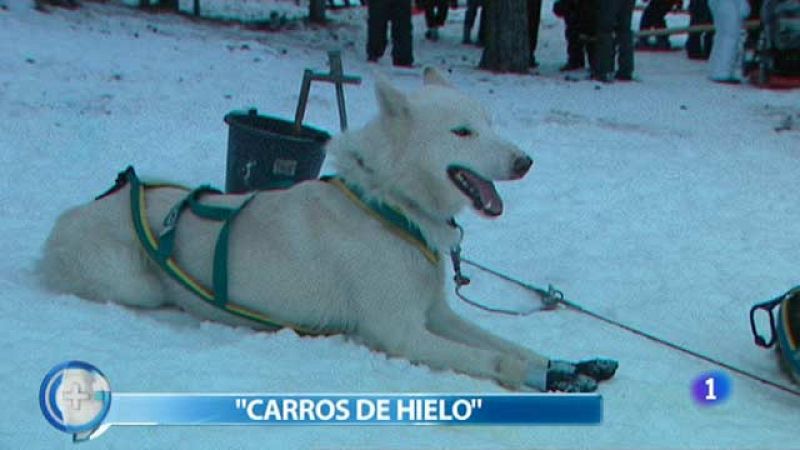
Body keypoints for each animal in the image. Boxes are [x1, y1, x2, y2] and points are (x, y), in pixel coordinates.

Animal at [39, 68, 620, 392]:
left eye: (490, 123)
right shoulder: (400, 331)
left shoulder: (435, 313)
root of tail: (76, 211)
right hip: (134, 285)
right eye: (463, 131)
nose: (525, 162)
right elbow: (492, 357)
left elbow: (509, 342)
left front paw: (563, 363)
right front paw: (547, 377)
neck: (393, 206)